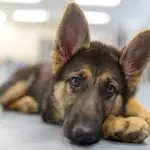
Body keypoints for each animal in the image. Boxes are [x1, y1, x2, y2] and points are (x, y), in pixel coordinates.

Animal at [0, 2, 150, 145]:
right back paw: (26, 102)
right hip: (19, 83)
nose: (84, 134)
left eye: (110, 89)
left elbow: (138, 107)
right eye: (75, 81)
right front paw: (120, 121)